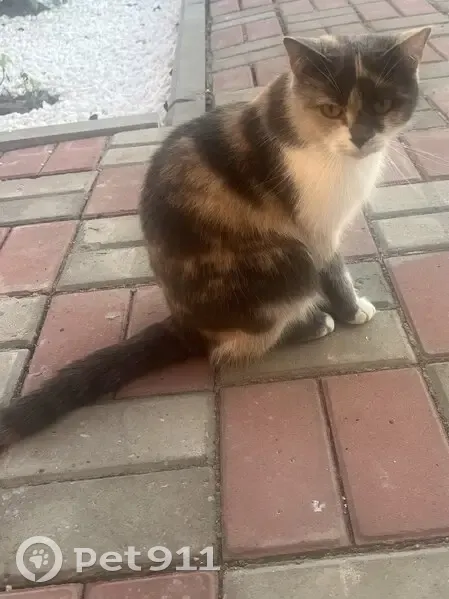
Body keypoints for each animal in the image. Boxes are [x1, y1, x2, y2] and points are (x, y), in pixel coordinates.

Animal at [0, 27, 430, 449]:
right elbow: (335, 273)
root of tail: (185, 324)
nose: (361, 136)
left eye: (383, 105)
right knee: (232, 347)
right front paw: (353, 309)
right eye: (331, 110)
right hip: (287, 260)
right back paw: (312, 323)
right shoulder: (317, 233)